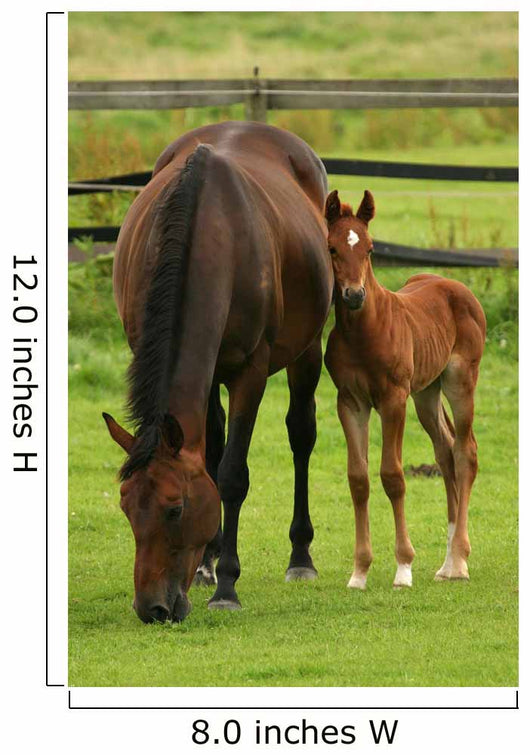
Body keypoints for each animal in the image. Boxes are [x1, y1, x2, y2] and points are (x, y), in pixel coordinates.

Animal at [103, 121, 333, 622]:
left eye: (174, 509)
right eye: (126, 508)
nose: (152, 608)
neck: (210, 231)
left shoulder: (250, 372)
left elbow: (231, 475)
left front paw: (227, 584)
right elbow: (209, 459)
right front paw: (210, 565)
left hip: (306, 351)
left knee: (301, 436)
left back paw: (300, 557)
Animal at [323, 189, 486, 589]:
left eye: (369, 248)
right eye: (333, 248)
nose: (353, 295)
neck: (364, 332)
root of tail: (455, 285)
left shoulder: (393, 400)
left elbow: (393, 476)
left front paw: (403, 567)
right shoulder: (350, 402)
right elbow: (358, 479)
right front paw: (360, 571)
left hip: (459, 381)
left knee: (465, 452)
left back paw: (460, 560)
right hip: (426, 392)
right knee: (445, 451)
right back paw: (446, 563)